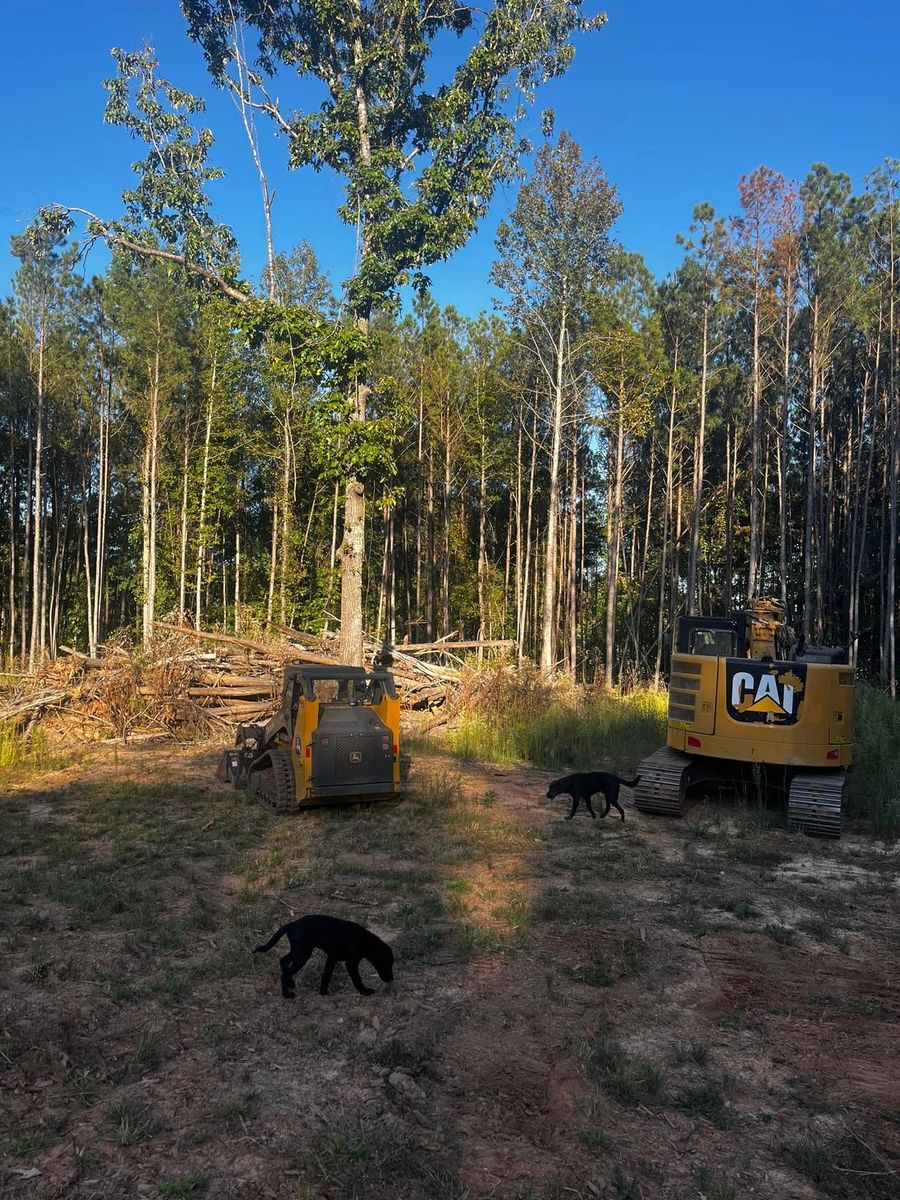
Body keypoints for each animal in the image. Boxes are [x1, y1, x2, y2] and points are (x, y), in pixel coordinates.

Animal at [254, 912, 393, 998]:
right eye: (387, 963)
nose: (391, 979)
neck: (365, 941)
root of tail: (292, 924)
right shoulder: (350, 963)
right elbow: (357, 979)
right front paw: (365, 991)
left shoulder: (332, 958)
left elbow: (326, 976)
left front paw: (323, 992)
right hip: (302, 955)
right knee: (284, 973)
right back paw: (287, 995)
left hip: (298, 951)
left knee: (283, 961)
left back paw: (291, 983)